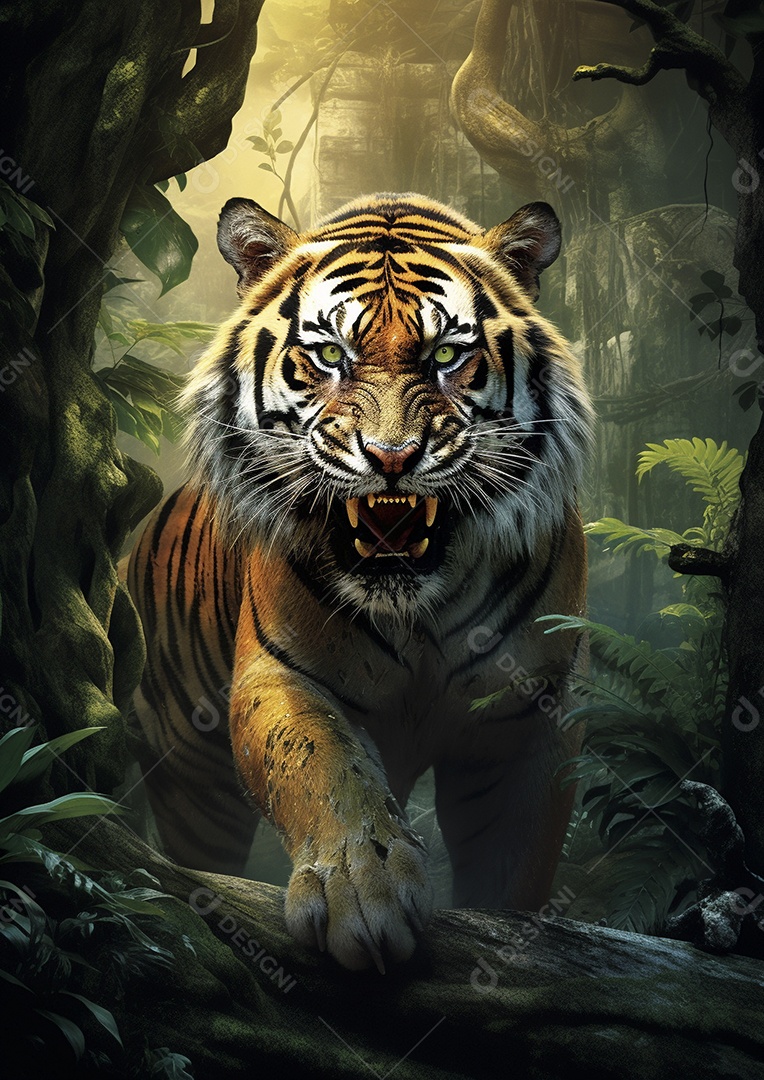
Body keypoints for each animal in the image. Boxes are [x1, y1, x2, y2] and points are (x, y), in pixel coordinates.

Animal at [127, 191, 593, 973]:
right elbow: (324, 771)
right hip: (189, 777)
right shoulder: (283, 675)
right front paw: (361, 893)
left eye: (446, 356)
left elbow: (512, 872)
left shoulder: (530, 715)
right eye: (329, 357)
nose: (392, 456)